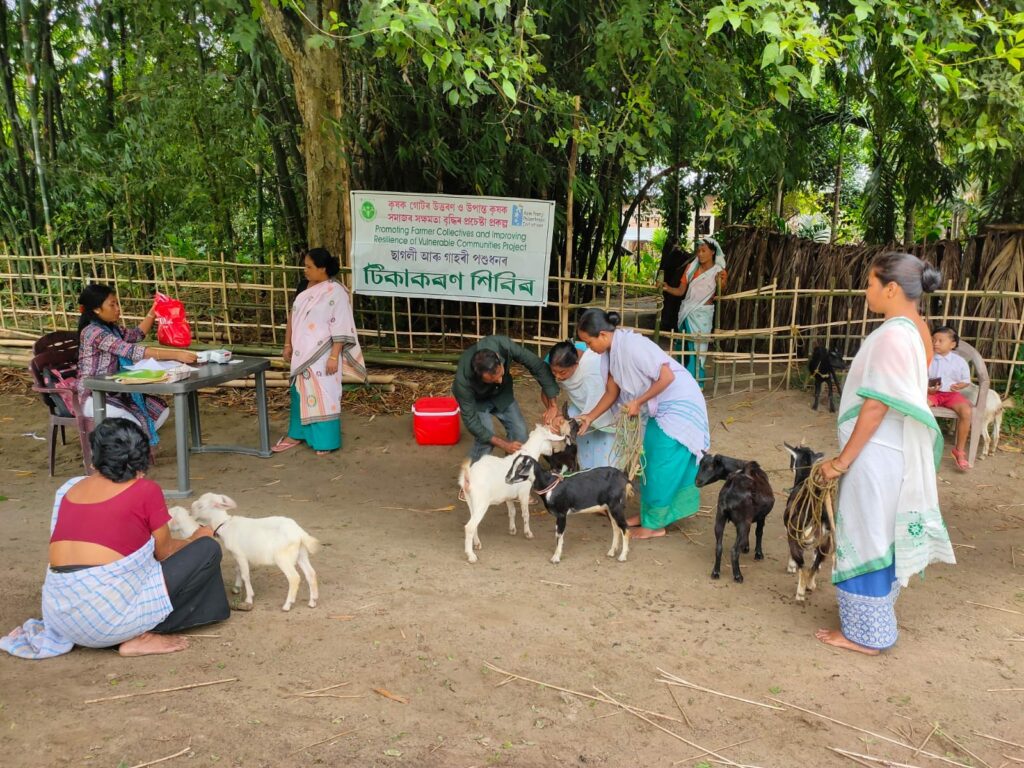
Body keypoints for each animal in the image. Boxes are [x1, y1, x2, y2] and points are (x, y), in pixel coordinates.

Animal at [458, 421, 569, 565]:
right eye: (550, 440)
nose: (552, 451)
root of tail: (468, 477)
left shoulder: (508, 496)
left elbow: (512, 512)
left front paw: (512, 529)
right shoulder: (524, 493)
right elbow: (525, 514)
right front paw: (528, 533)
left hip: (471, 501)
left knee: (473, 523)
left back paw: (477, 544)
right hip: (481, 502)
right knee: (469, 526)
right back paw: (471, 556)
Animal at [696, 450, 774, 581]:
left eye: (710, 467)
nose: (697, 481)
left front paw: (746, 547)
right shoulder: (760, 516)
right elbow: (759, 532)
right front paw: (758, 554)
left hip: (720, 517)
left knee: (719, 547)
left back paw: (716, 572)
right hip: (743, 522)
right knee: (734, 551)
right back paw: (738, 576)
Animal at [782, 444, 831, 602]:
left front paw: (791, 566)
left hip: (796, 534)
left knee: (803, 568)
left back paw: (800, 593)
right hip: (826, 540)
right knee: (815, 564)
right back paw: (810, 584)